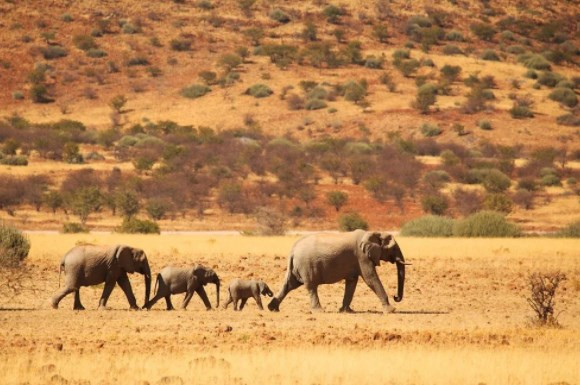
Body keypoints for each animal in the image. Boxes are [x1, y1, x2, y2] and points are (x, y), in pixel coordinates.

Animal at [268, 230, 408, 314]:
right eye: (393, 248)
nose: (396, 297)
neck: (374, 233)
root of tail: (293, 249)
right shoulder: (362, 257)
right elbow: (371, 278)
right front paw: (391, 310)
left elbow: (352, 282)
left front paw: (346, 311)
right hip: (306, 265)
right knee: (311, 287)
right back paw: (319, 311)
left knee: (289, 285)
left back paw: (272, 308)